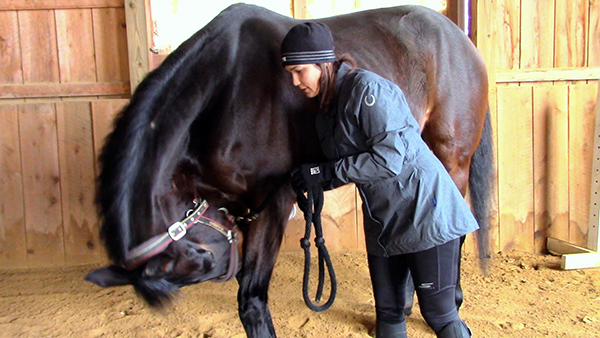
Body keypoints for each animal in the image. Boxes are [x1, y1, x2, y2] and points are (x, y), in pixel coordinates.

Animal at [86, 3, 494, 336]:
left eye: (204, 262)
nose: (229, 264)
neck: (227, 90)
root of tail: (458, 37)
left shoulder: (273, 203)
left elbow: (250, 299)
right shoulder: (243, 207)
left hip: (452, 157)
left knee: (452, 225)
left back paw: (452, 299)